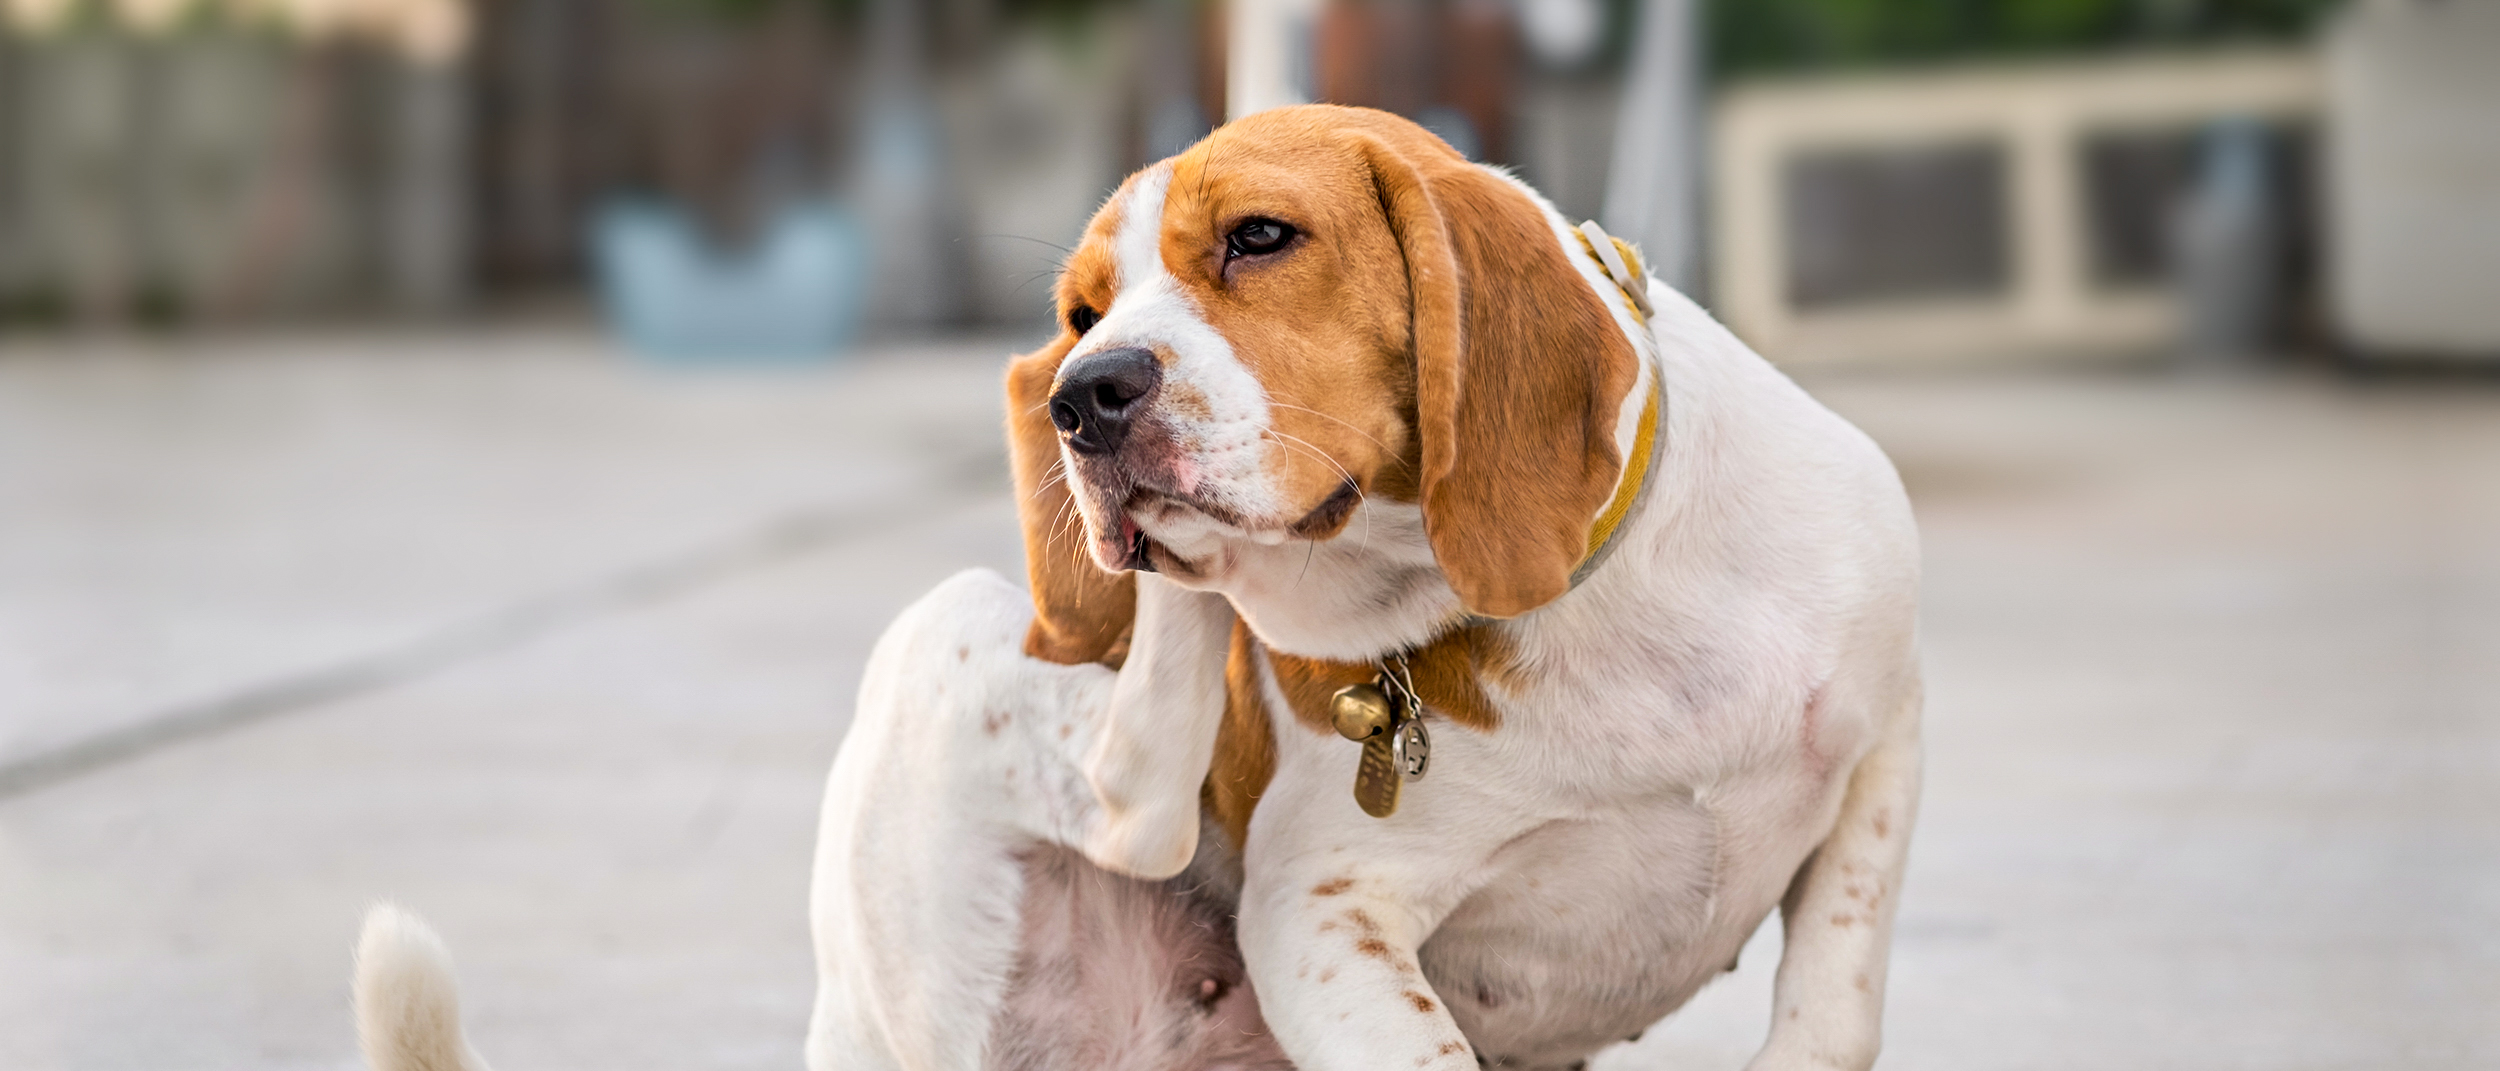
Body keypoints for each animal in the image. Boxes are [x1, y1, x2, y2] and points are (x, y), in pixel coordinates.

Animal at [347, 104, 1910, 1071]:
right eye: (1083, 311)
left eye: (1261, 237)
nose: (1082, 397)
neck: (1588, 616)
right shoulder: (1322, 916)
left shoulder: (1887, 743)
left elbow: (1833, 1000)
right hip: (961, 638)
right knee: (1133, 785)